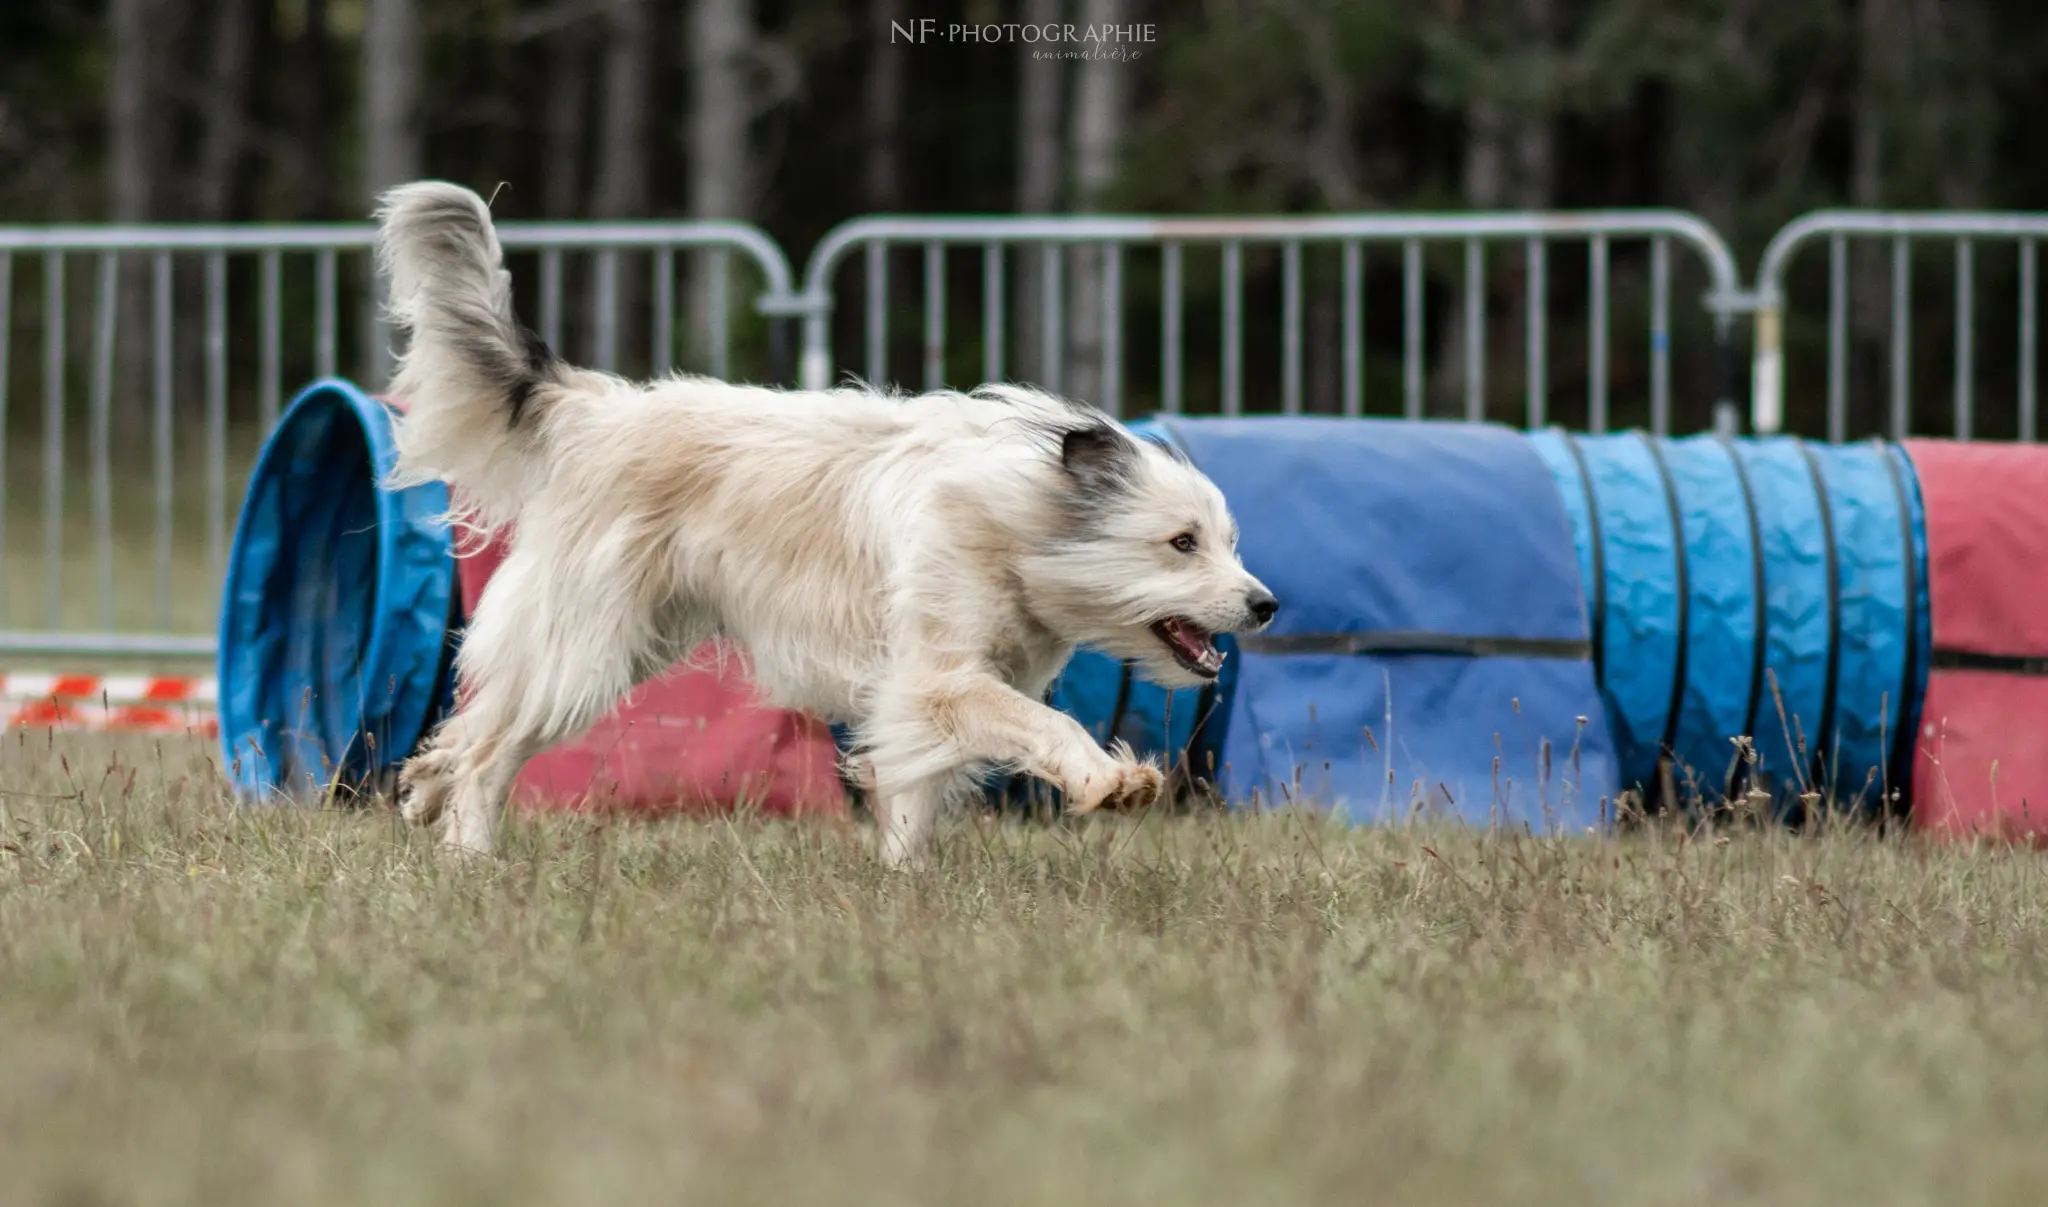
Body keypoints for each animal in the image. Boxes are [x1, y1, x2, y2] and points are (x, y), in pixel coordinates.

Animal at [366, 179, 1261, 860]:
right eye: (1182, 543)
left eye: (1228, 541)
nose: (1267, 605)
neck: (1013, 522)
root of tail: (594, 406)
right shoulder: (940, 679)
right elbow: (1042, 722)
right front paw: (1108, 780)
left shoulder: (929, 690)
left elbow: (915, 793)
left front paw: (906, 885)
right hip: (586, 648)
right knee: (490, 750)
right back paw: (470, 854)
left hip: (625, 641)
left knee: (477, 724)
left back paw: (424, 788)